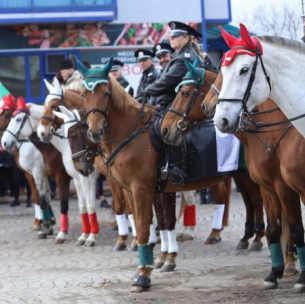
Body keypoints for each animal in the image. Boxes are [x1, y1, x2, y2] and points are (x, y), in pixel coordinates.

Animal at [2, 100, 100, 247]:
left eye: (17, 119)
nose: (4, 143)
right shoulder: (41, 174)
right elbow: (43, 198)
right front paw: (46, 227)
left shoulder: (59, 176)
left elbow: (62, 203)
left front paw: (58, 231)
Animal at [74, 57, 264, 292]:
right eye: (84, 94)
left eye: (106, 93)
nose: (95, 131)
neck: (131, 133)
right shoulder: (145, 191)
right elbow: (162, 223)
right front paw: (161, 260)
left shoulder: (142, 189)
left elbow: (146, 228)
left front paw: (144, 276)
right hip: (242, 177)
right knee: (250, 202)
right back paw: (247, 238)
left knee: (257, 201)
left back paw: (257, 240)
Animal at [160, 60, 302, 290]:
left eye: (185, 92)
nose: (165, 129)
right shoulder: (269, 186)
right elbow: (277, 227)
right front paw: (277, 271)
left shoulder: (283, 186)